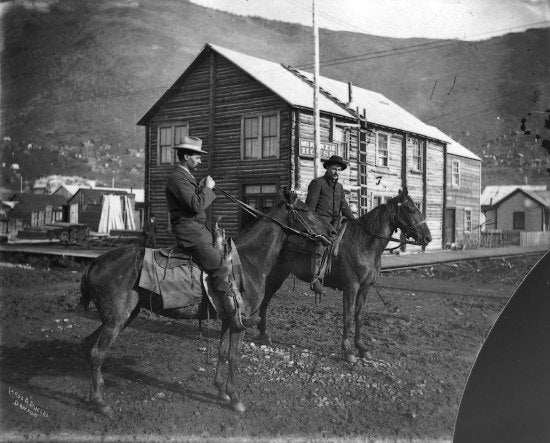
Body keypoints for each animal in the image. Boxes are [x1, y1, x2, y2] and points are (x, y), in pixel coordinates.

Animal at [77, 191, 336, 416]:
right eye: (306, 210)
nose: (332, 231)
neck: (249, 261)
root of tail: (95, 263)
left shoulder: (227, 320)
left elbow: (222, 353)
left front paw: (221, 392)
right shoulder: (239, 324)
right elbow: (234, 357)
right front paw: (236, 399)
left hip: (120, 318)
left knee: (89, 347)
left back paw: (92, 395)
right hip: (116, 319)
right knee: (97, 352)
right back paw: (101, 403)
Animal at [256, 188, 434, 364]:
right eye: (410, 209)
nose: (428, 238)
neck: (363, 243)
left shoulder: (364, 289)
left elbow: (359, 317)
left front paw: (362, 348)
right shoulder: (351, 287)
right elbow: (348, 317)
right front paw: (348, 351)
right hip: (275, 275)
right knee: (264, 301)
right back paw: (263, 334)